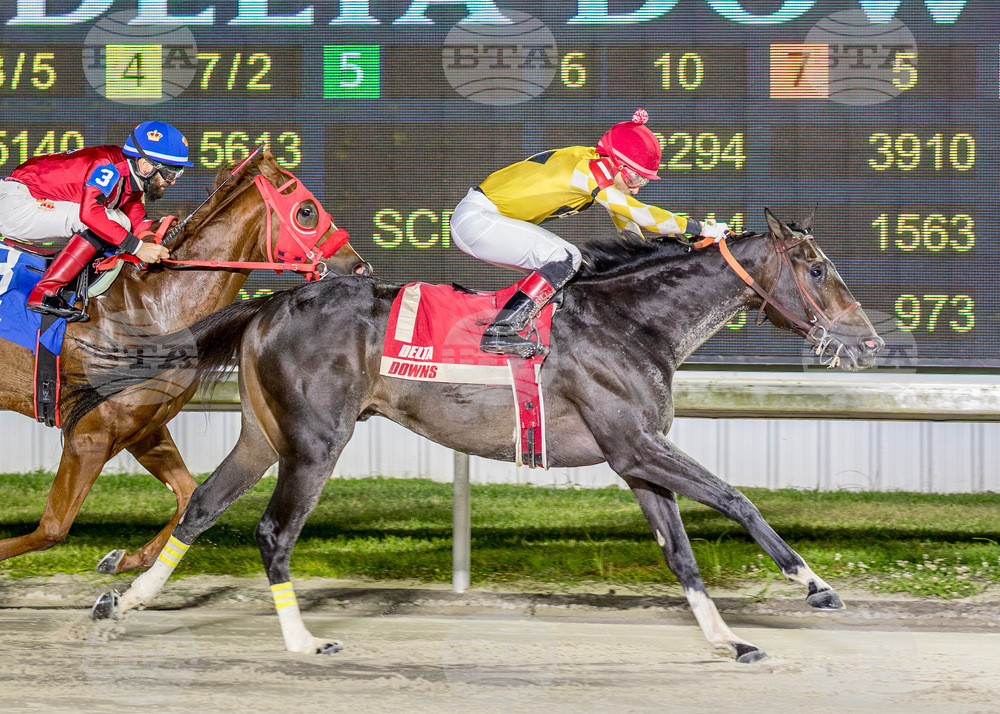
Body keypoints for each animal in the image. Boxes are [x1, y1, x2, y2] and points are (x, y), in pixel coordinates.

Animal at [0, 151, 371, 575]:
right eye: (306, 211)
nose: (360, 267)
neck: (150, 306)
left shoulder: (143, 430)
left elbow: (188, 494)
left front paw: (125, 559)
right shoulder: (88, 436)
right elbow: (52, 528)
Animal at [83, 208, 883, 662]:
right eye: (818, 268)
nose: (870, 342)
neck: (633, 322)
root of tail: (272, 300)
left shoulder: (635, 459)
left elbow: (680, 551)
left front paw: (726, 638)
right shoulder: (635, 443)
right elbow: (736, 499)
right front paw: (815, 585)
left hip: (261, 435)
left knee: (201, 507)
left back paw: (124, 602)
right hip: (315, 441)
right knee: (273, 533)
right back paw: (303, 641)